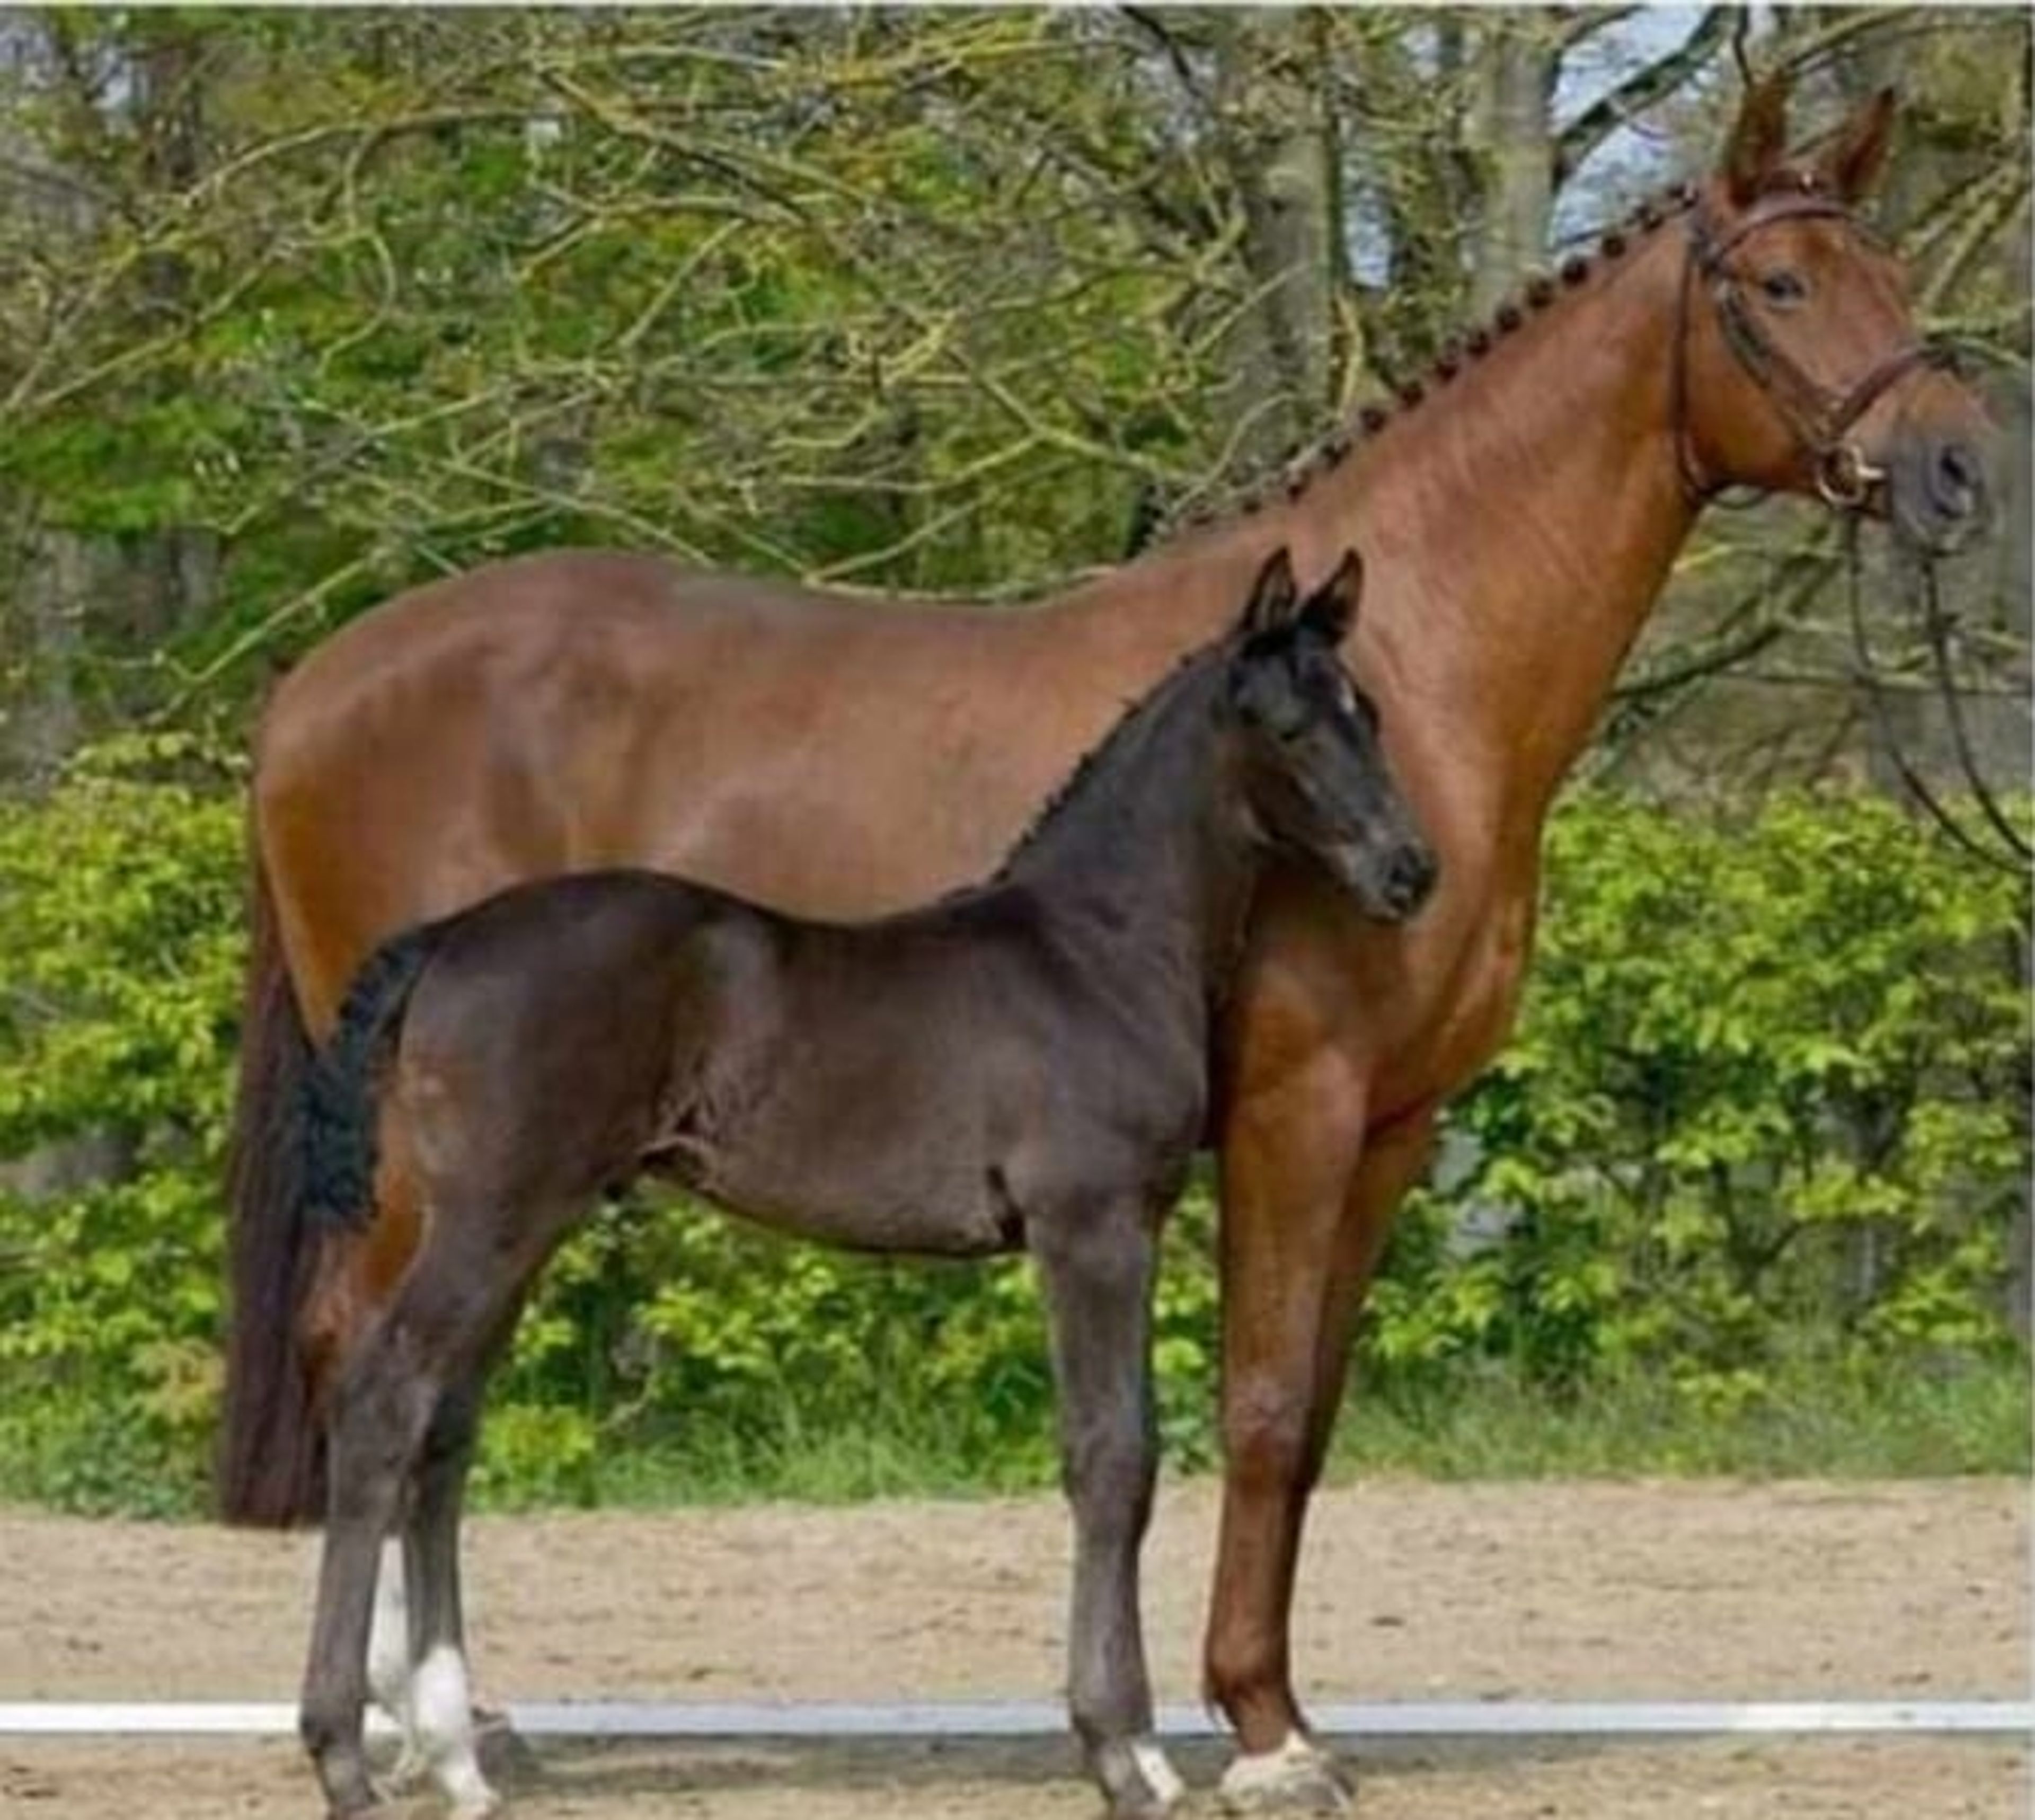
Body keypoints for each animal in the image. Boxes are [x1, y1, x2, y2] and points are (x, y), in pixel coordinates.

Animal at [288, 547, 1432, 1818]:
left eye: (1370, 713)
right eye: (1286, 725)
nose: (1408, 870)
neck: (1098, 948)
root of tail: (441, 941)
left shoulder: (1118, 1221)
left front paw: (1134, 1749)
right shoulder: (1088, 1225)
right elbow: (1112, 1457)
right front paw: (1121, 1752)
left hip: (517, 1223)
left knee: (442, 1428)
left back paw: (455, 1756)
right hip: (491, 1215)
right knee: (384, 1398)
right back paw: (346, 1755)